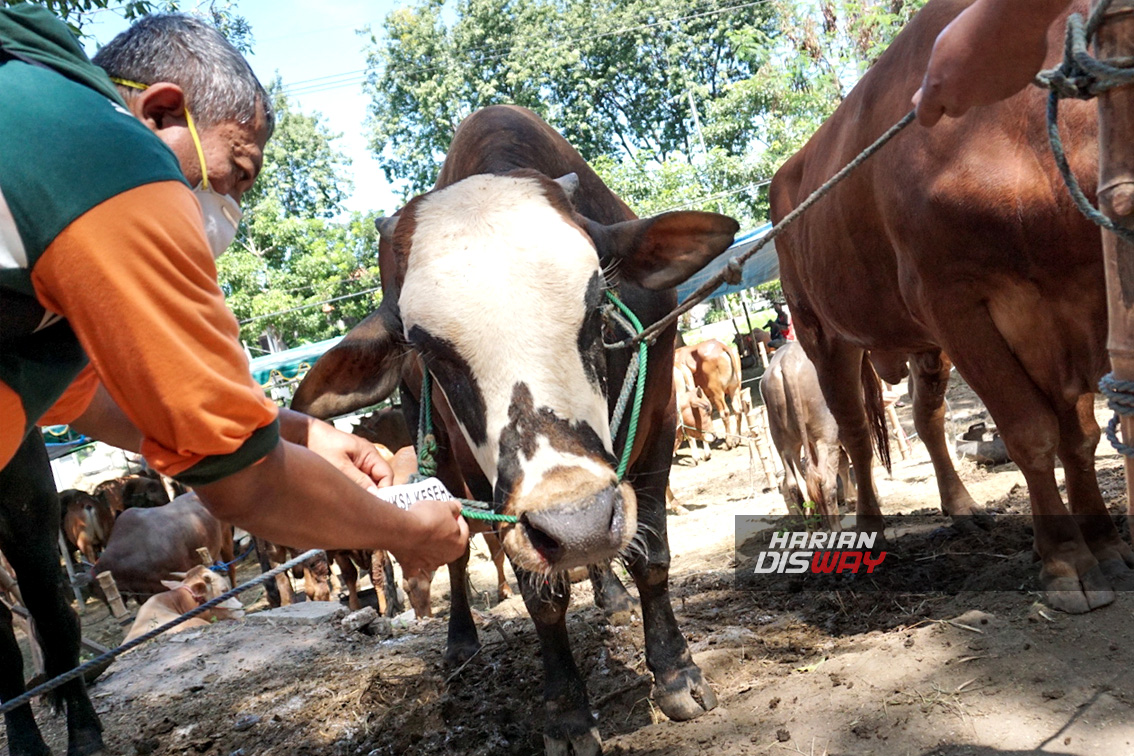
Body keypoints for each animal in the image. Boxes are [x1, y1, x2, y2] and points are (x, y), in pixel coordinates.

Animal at [288, 104, 739, 752]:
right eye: (425, 348)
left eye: (599, 302)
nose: (576, 523)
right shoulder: (492, 489)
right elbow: (539, 594)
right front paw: (567, 712)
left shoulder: (660, 419)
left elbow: (651, 555)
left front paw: (676, 671)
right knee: (457, 559)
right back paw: (462, 638)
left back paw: (611, 596)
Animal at [757, 342, 852, 525]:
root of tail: (787, 360)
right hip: (825, 435)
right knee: (827, 482)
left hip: (785, 443)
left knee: (796, 484)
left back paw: (812, 527)